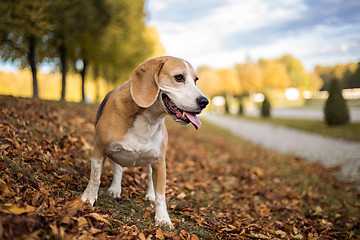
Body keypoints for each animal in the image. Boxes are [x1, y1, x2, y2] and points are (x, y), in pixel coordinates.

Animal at [81, 55, 208, 228]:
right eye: (179, 77)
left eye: (196, 81)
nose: (205, 102)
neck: (148, 119)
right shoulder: (99, 150)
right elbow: (95, 177)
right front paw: (88, 198)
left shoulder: (159, 162)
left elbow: (161, 195)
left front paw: (163, 218)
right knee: (118, 169)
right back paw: (115, 189)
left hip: (151, 162)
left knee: (148, 177)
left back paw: (149, 194)